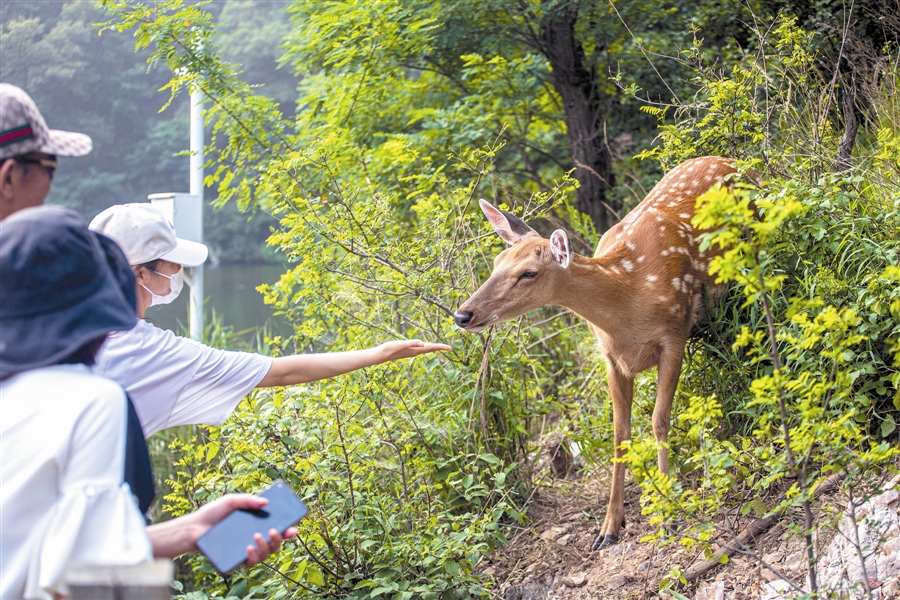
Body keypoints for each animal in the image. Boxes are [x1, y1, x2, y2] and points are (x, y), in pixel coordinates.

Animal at [454, 157, 748, 552]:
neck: (629, 297)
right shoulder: (611, 358)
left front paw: (668, 515)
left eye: (528, 273)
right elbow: (620, 433)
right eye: (497, 261)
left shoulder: (674, 334)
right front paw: (609, 526)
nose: (463, 315)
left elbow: (659, 421)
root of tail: (730, 160)